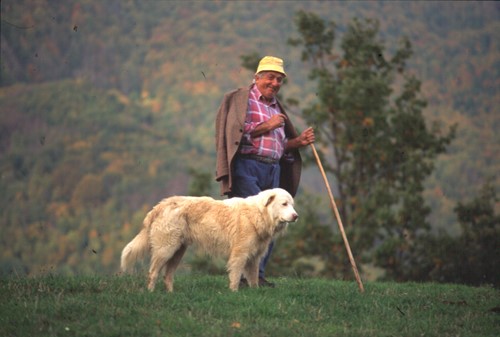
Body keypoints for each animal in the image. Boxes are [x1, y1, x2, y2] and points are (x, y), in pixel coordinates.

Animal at [120, 188, 296, 290]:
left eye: (292, 205)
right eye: (284, 204)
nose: (296, 216)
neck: (258, 214)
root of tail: (160, 205)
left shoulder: (253, 257)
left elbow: (253, 279)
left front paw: (255, 294)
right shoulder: (240, 254)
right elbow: (235, 277)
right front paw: (234, 293)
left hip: (178, 252)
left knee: (167, 275)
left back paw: (170, 294)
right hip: (166, 249)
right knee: (153, 273)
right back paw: (151, 293)